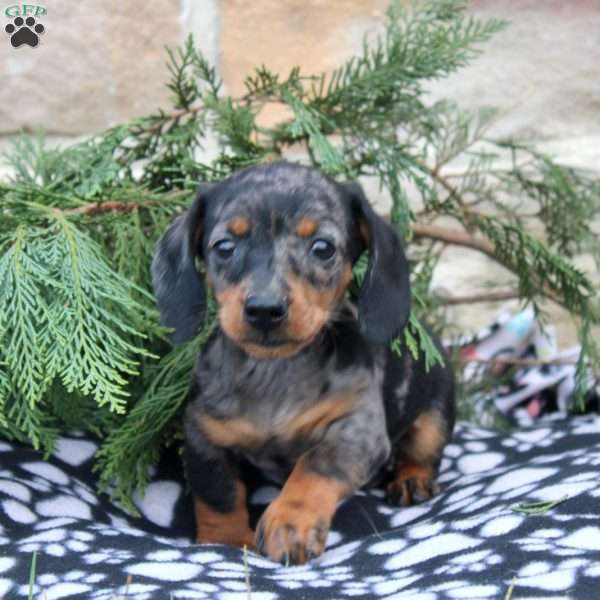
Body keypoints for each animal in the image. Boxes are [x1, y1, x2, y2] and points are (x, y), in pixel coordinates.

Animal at [151, 159, 454, 564]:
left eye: (323, 247)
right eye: (224, 246)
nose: (265, 309)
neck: (274, 373)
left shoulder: (357, 431)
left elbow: (314, 466)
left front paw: (289, 523)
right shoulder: (205, 437)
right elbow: (219, 495)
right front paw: (225, 543)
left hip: (435, 412)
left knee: (423, 450)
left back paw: (412, 479)